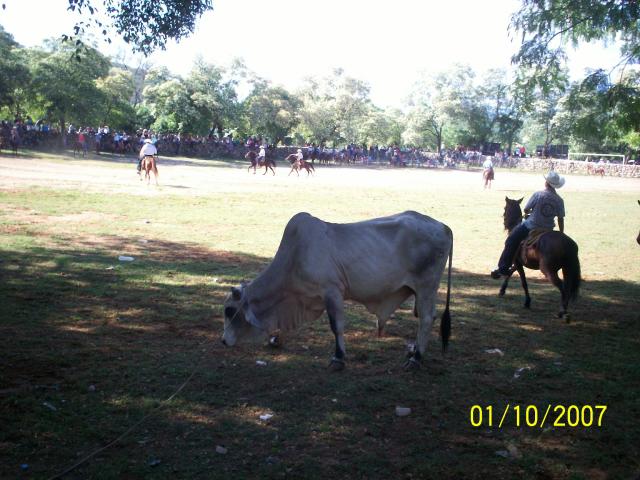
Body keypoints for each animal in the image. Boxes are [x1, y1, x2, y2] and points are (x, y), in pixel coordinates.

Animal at [222, 211, 452, 372]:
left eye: (229, 310)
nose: (223, 341)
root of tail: (443, 226)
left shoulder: (331, 291)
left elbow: (336, 326)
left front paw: (338, 358)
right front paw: (276, 339)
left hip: (426, 286)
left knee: (427, 319)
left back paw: (416, 358)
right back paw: (412, 351)